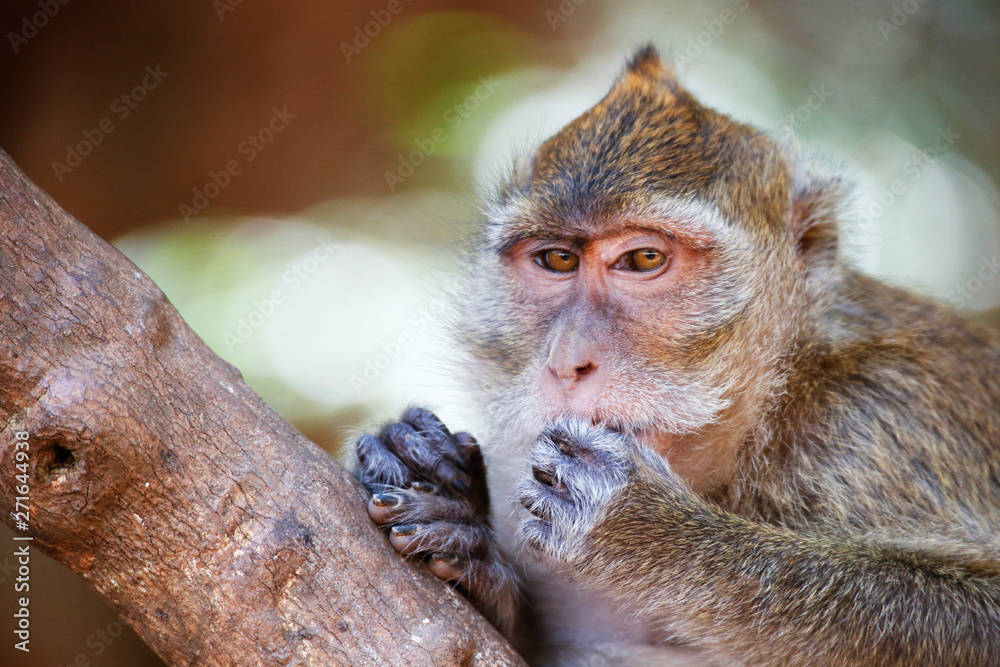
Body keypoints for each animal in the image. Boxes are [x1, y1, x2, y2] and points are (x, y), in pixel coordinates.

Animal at [354, 45, 1000, 666]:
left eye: (642, 259)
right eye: (558, 260)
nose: (567, 361)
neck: (778, 398)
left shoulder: (883, 419)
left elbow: (982, 613)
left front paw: (644, 532)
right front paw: (444, 497)